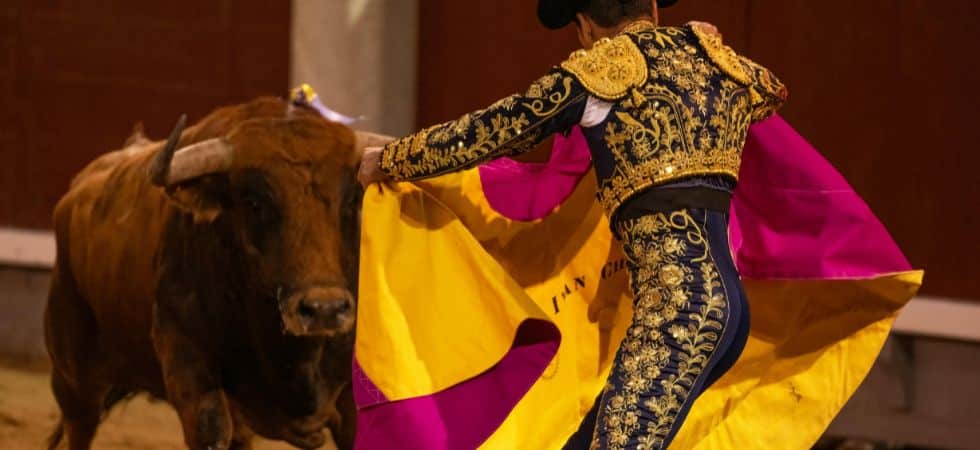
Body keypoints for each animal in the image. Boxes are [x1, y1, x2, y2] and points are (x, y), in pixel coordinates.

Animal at [44, 97, 383, 450]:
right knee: (80, 425)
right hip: (73, 382)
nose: (324, 309)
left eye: (351, 200)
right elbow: (211, 427)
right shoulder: (189, 368)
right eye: (254, 202)